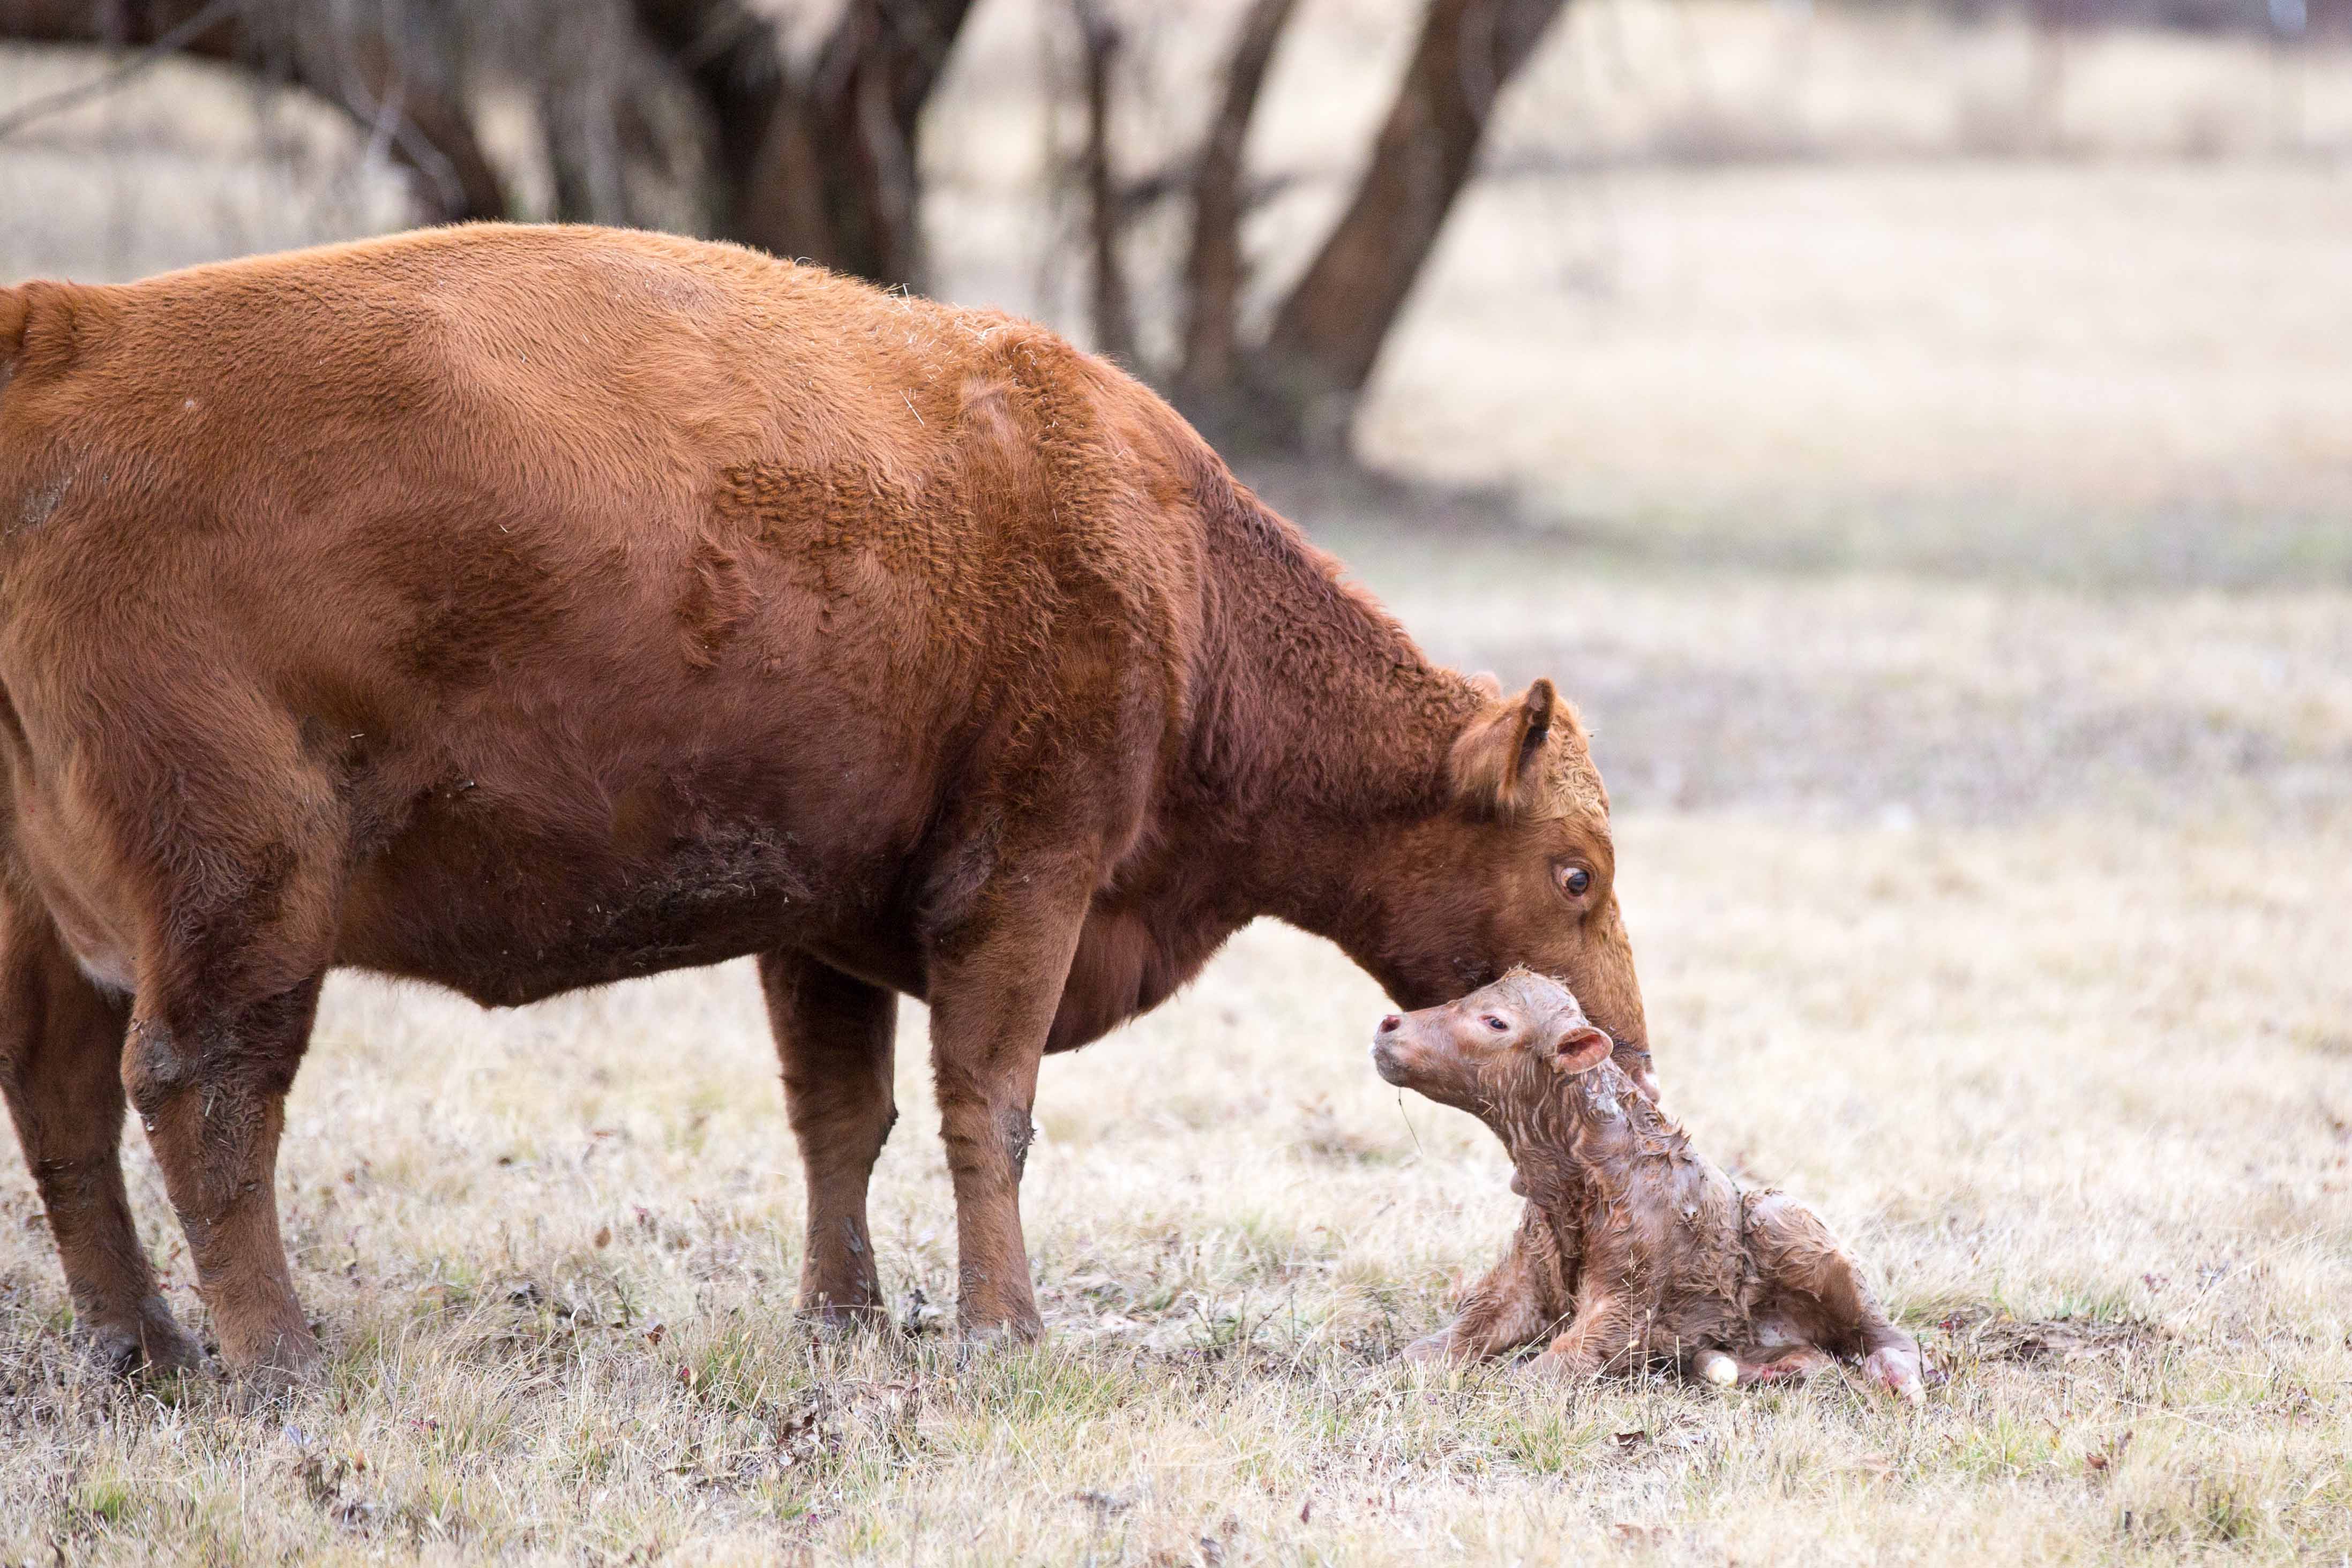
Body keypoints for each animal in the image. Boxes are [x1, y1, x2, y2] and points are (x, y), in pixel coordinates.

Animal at [0, 224, 1650, 1381]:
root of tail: (72, 331)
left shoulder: (821, 921)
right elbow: (987, 1107)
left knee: (63, 1094)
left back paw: (143, 1346)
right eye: (1574, 870)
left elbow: (839, 1118)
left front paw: (843, 1318)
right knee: (203, 1090)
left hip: (53, 914)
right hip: (246, 900)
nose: (1621, 1046)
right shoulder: (1022, 882)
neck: (1171, 572)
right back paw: (279, 1358)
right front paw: (1003, 1330)